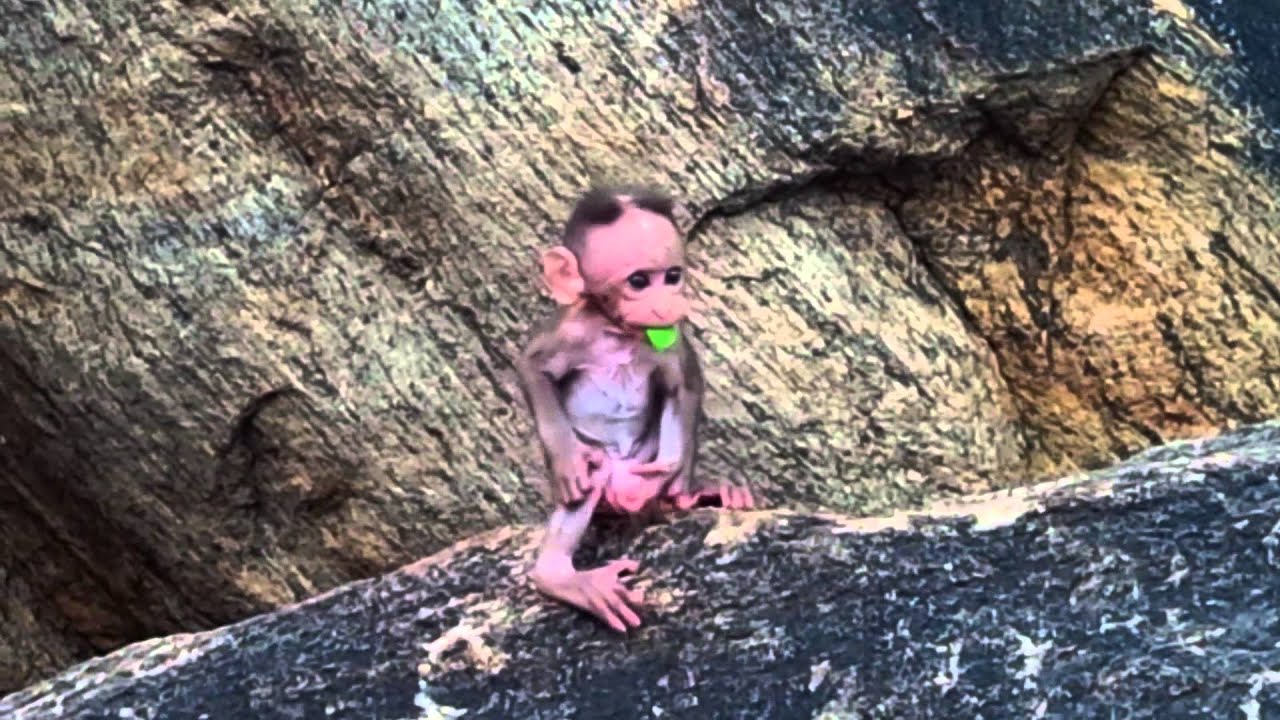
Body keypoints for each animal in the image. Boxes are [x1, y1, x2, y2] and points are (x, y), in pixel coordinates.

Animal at [515, 186, 754, 634]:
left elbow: (684, 384)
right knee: (592, 479)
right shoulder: (570, 331)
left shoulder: (668, 339)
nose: (670, 302)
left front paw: (678, 481)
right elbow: (532, 368)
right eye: (639, 281)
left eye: (673, 276)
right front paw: (566, 459)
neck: (618, 332)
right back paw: (560, 576)